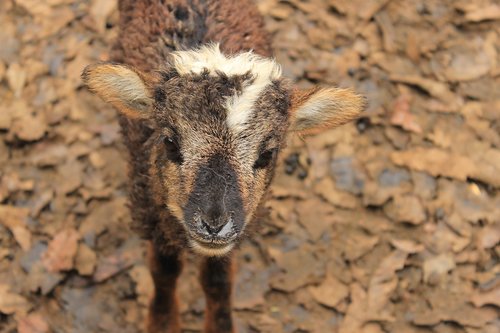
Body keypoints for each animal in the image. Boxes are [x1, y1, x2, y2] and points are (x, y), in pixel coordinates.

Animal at [81, 0, 364, 332]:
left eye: (267, 154)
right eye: (170, 142)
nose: (214, 224)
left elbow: (217, 282)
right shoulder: (154, 215)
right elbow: (164, 272)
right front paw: (162, 321)